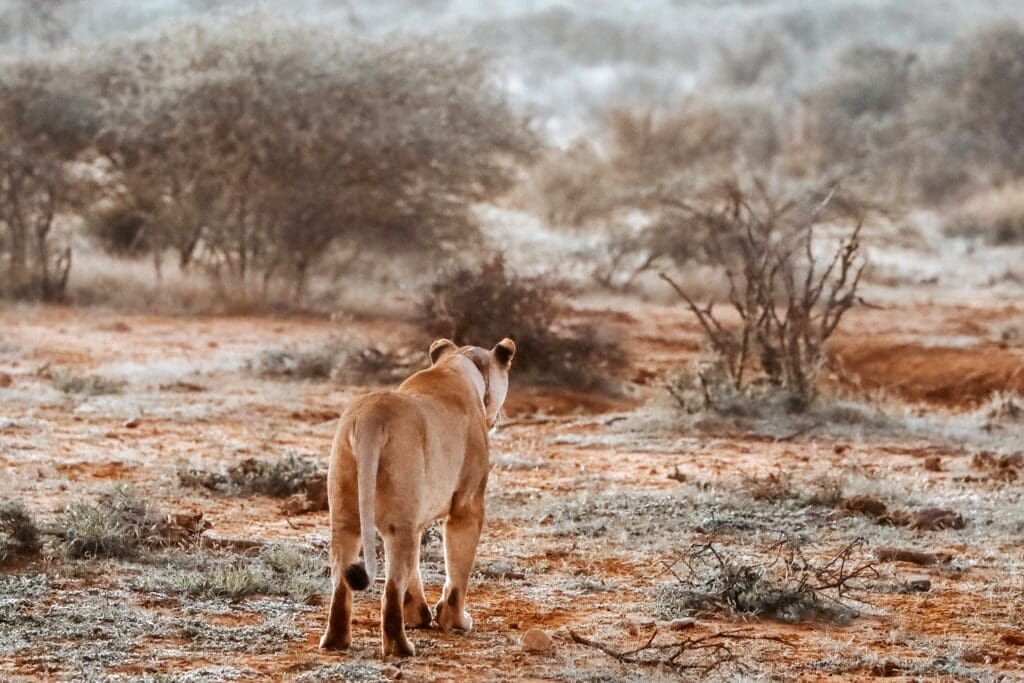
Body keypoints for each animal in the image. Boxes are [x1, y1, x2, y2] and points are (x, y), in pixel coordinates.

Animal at [318, 337, 516, 657]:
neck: (458, 365)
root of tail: (371, 418)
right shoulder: (467, 505)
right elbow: (458, 569)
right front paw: (455, 620)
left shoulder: (417, 518)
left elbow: (415, 573)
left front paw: (420, 617)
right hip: (399, 523)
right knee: (390, 590)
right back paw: (400, 648)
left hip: (347, 515)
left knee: (341, 582)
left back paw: (336, 642)